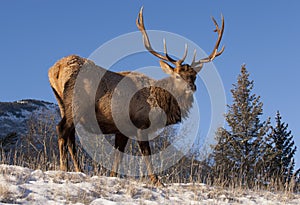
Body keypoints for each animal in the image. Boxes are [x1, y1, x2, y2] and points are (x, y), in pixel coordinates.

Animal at [48, 7, 224, 186]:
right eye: (177, 75)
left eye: (194, 76)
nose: (191, 87)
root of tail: (55, 69)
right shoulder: (140, 123)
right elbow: (146, 154)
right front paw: (157, 181)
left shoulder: (122, 130)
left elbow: (118, 156)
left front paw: (113, 176)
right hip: (76, 103)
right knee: (62, 129)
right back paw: (63, 168)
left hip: (62, 104)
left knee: (70, 137)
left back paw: (79, 170)